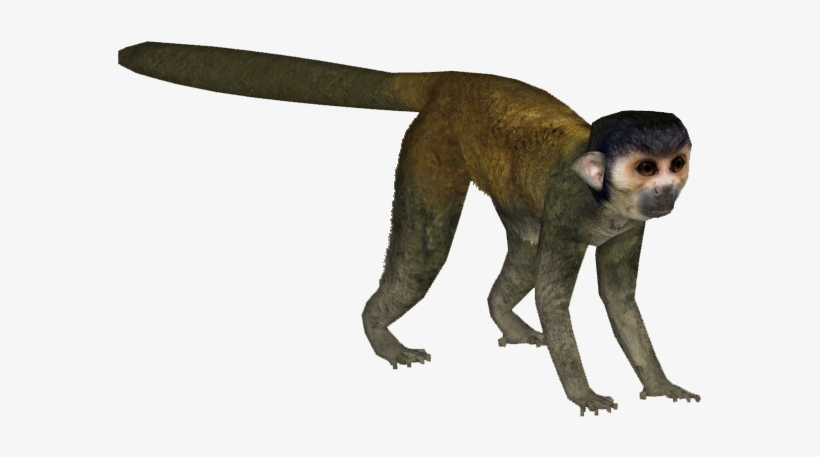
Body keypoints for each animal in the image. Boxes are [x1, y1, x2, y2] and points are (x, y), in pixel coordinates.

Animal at [118, 42, 701, 416]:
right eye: (645, 167)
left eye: (676, 163)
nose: (666, 191)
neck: (604, 201)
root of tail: (453, 78)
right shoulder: (568, 207)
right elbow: (555, 299)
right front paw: (583, 394)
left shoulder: (630, 224)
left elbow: (618, 300)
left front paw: (659, 384)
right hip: (433, 143)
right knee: (426, 254)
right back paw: (379, 333)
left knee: (522, 244)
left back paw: (501, 315)